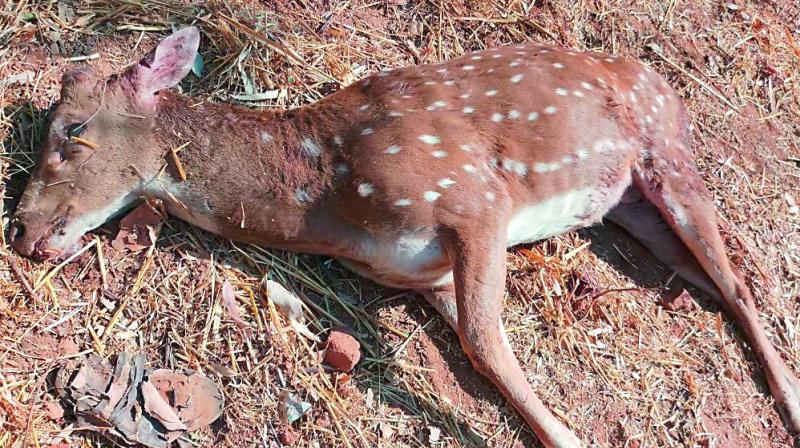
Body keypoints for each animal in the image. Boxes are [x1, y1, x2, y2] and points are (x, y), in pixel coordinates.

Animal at [7, 27, 800, 444]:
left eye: (72, 131)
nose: (22, 231)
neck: (332, 194)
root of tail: (662, 81)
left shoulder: (473, 195)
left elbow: (486, 343)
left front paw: (571, 437)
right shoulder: (420, 272)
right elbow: (484, 351)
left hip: (668, 152)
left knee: (736, 283)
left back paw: (788, 399)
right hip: (631, 206)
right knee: (717, 285)